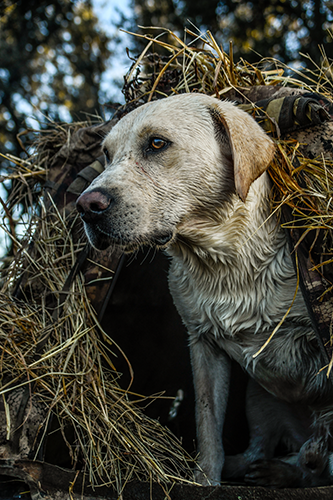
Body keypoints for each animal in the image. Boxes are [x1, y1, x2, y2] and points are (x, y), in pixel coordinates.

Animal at [76, 94, 332, 488]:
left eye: (157, 143)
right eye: (105, 154)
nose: (86, 206)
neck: (226, 258)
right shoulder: (203, 346)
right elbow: (207, 421)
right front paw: (205, 478)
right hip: (258, 398)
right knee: (269, 452)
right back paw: (268, 468)